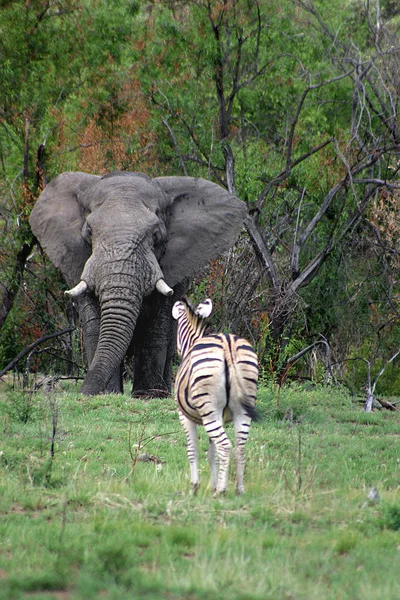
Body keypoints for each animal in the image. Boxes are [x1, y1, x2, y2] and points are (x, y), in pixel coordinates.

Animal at [29, 171, 247, 396]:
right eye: (88, 233)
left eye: (156, 235)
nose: (83, 393)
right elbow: (95, 324)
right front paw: (108, 394)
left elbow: (155, 326)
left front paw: (146, 396)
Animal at [172, 296, 260, 496]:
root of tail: (228, 344)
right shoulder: (221, 417)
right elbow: (212, 454)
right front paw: (212, 484)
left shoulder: (185, 416)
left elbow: (193, 450)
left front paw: (195, 487)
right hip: (241, 410)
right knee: (239, 448)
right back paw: (239, 490)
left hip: (209, 410)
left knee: (226, 446)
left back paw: (221, 491)